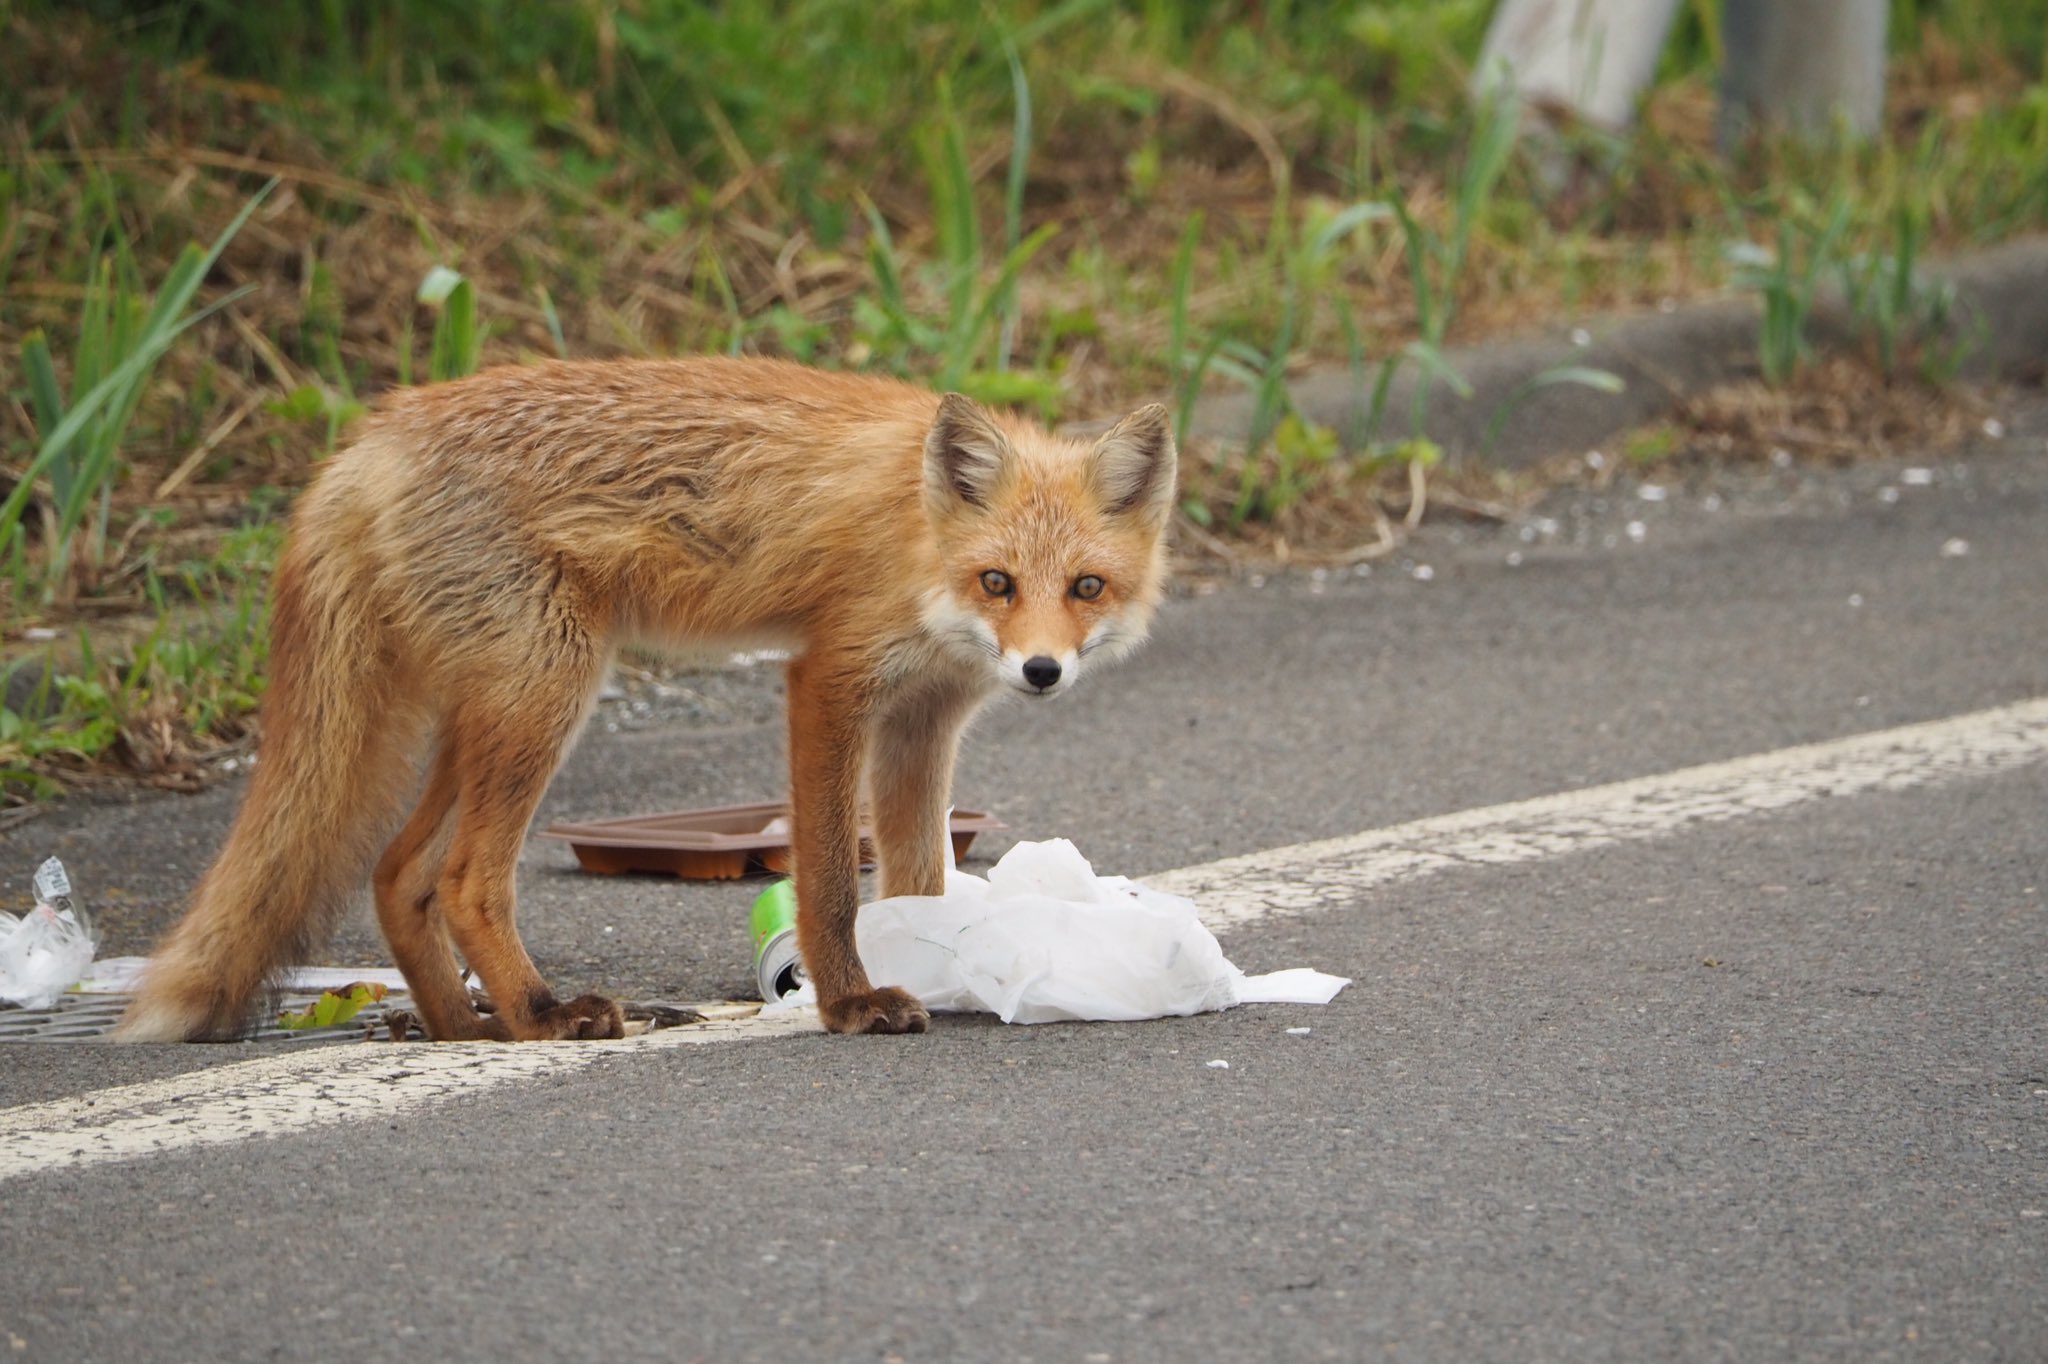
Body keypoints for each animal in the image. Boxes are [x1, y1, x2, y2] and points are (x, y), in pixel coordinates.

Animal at [119, 356, 1179, 1036]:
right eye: (998, 582)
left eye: (1085, 587)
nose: (1040, 671)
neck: (916, 537)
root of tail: (375, 432)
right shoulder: (829, 683)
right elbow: (833, 883)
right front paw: (849, 1003)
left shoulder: (925, 717)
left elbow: (918, 878)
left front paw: (943, 960)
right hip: (548, 690)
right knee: (464, 881)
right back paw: (543, 1015)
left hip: (491, 709)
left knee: (397, 874)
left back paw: (468, 1028)